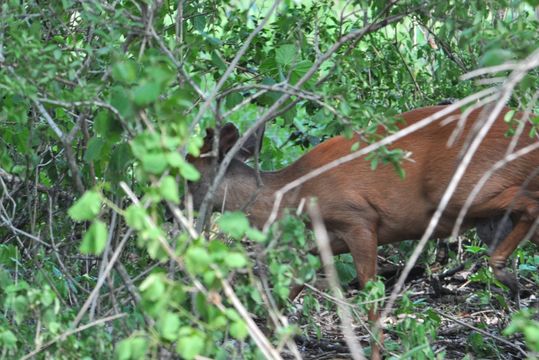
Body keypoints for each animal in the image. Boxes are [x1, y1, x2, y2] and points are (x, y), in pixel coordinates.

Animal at [187, 104, 539, 358]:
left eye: (191, 174)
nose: (176, 207)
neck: (295, 193)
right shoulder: (332, 236)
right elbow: (298, 277)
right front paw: (269, 337)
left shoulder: (359, 219)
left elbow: (370, 296)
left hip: (461, 190)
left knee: (529, 203)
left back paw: (504, 273)